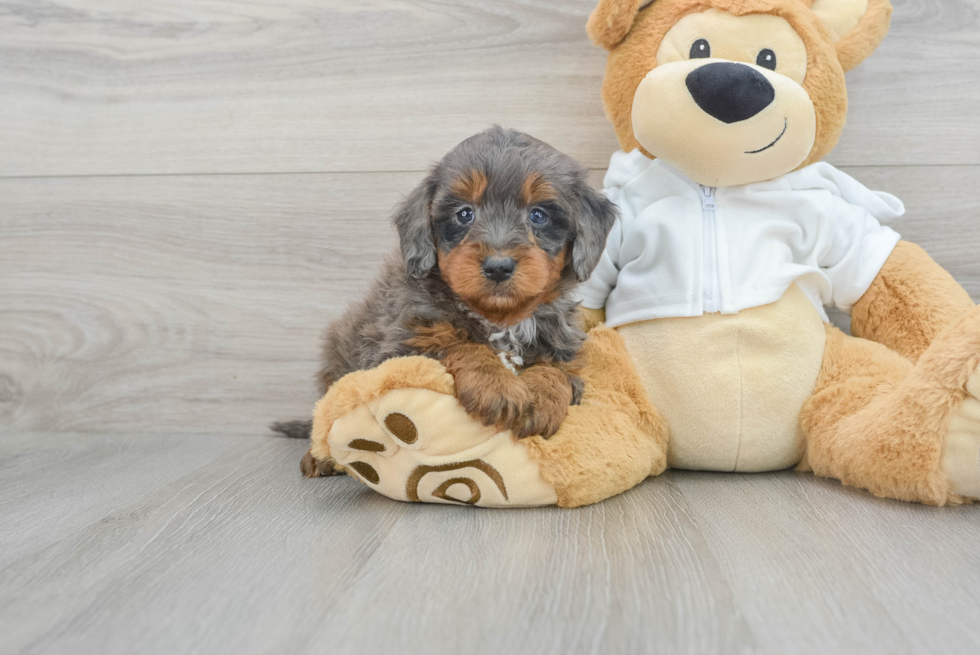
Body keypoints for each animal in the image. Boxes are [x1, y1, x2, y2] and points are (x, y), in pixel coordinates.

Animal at [272, 127, 616, 476]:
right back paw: (320, 457)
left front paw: (542, 399)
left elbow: (556, 372)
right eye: (464, 214)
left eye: (538, 215)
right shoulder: (397, 347)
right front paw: (496, 384)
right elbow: (456, 343)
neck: (501, 318)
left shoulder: (565, 351)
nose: (498, 266)